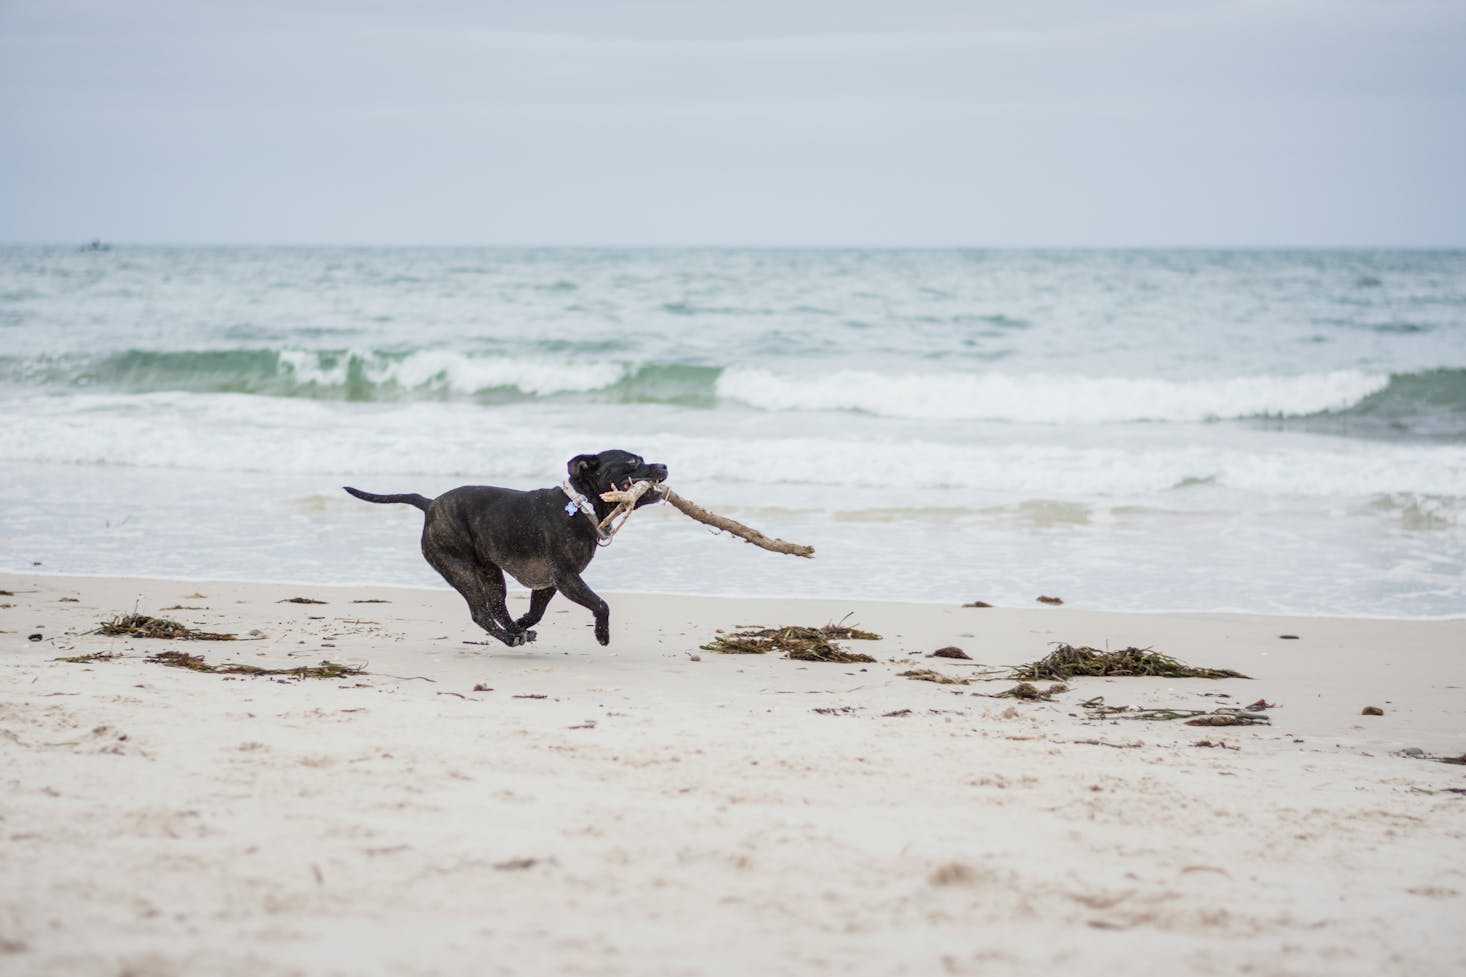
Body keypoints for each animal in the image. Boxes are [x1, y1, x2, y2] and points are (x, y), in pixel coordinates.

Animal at [340, 448, 668, 645]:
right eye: (634, 462)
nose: (664, 464)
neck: (579, 503)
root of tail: (430, 504)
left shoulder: (549, 583)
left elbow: (537, 610)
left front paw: (524, 620)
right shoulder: (567, 578)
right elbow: (601, 603)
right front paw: (602, 634)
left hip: (490, 573)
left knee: (497, 606)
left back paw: (516, 630)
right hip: (460, 569)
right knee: (481, 613)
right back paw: (510, 638)